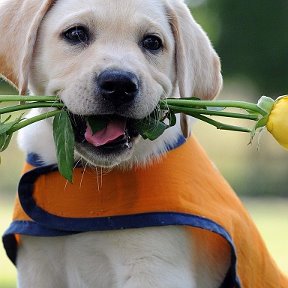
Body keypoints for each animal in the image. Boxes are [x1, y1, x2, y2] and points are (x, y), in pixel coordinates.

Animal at [1, 0, 286, 288]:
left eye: (152, 42)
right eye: (76, 34)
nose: (119, 84)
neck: (94, 176)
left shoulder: (155, 267)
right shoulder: (38, 266)